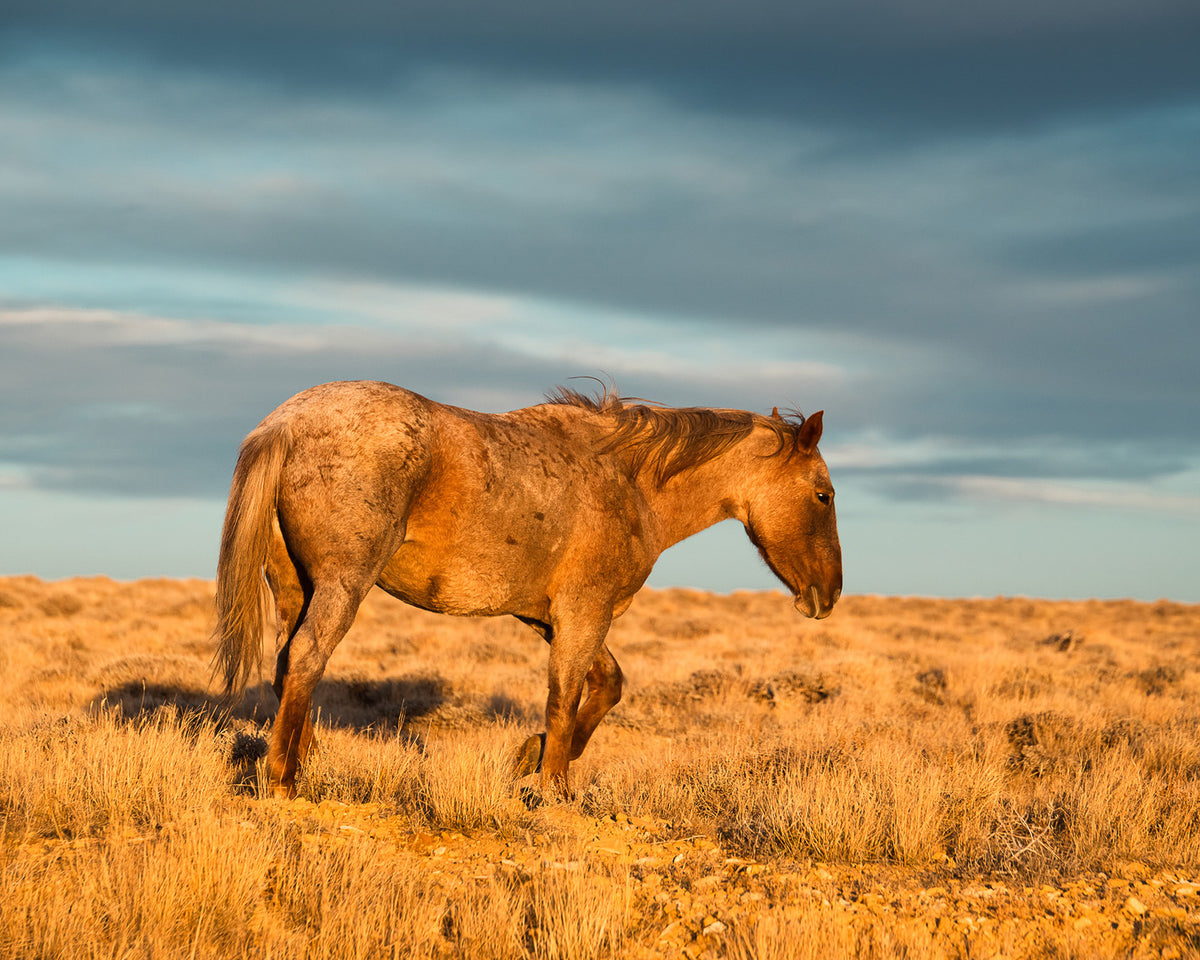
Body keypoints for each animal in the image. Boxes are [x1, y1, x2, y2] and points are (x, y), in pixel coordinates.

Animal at [211, 379, 840, 796]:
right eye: (824, 495)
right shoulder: (584, 613)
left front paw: (529, 758)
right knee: (307, 658)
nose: (829, 594)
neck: (629, 482)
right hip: (342, 585)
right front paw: (553, 787)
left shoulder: (549, 616)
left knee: (286, 666)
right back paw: (284, 779)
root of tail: (287, 423)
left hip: (296, 589)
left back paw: (307, 758)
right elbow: (564, 698)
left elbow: (606, 685)